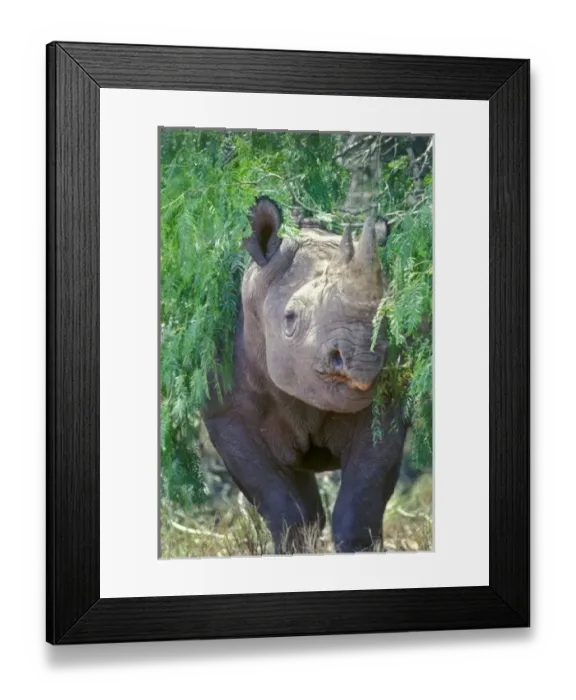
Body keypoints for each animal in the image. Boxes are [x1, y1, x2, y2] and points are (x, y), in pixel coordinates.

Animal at [201, 196, 407, 553]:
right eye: (290, 318)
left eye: (387, 314)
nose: (362, 358)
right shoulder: (225, 412)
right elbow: (282, 504)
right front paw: (295, 549)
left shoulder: (389, 403)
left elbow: (364, 494)